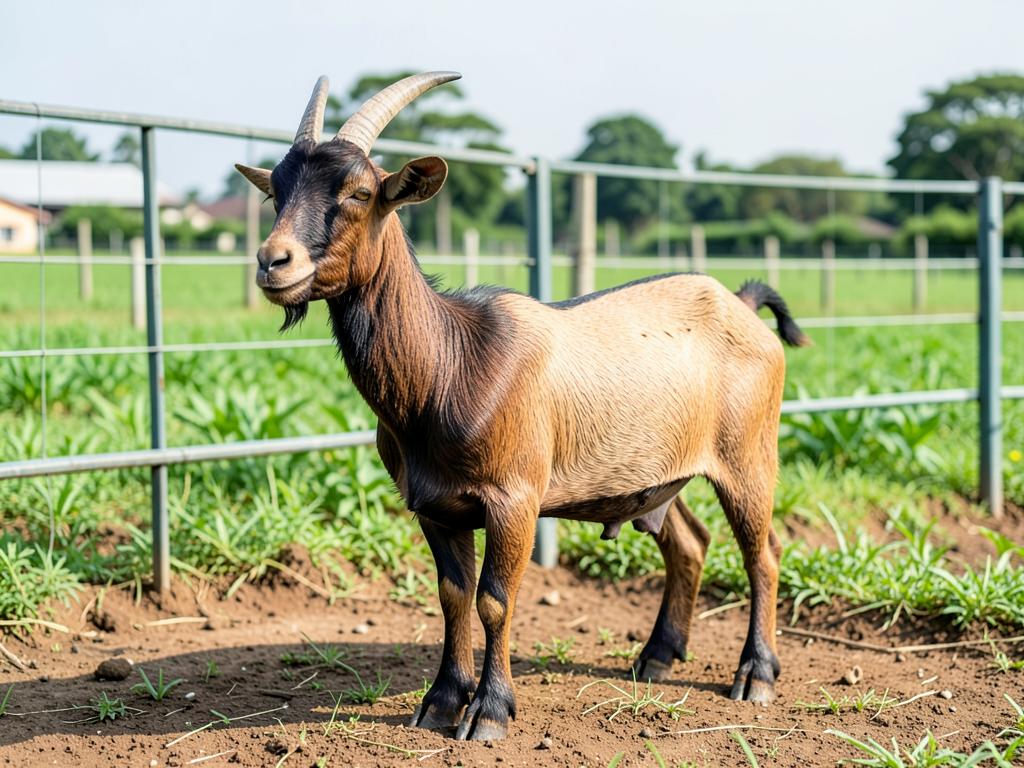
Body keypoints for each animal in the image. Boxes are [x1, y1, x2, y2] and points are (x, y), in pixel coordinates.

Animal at [235, 72, 809, 742]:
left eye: (359, 191)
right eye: (276, 191)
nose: (273, 262)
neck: (451, 363)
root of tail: (740, 303)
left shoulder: (514, 498)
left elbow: (495, 599)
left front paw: (488, 712)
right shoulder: (436, 506)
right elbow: (452, 595)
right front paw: (440, 703)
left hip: (748, 455)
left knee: (762, 552)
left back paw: (756, 675)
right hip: (660, 473)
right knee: (689, 543)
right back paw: (656, 658)